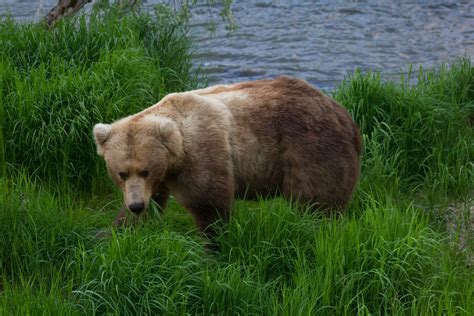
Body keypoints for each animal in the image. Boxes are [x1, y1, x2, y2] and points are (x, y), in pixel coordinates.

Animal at [93, 77, 362, 237]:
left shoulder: (202, 153)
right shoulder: (160, 178)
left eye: (145, 170)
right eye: (121, 173)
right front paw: (114, 231)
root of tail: (346, 117)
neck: (175, 156)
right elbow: (151, 204)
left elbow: (209, 204)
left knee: (316, 201)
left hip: (312, 149)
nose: (136, 205)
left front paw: (213, 245)